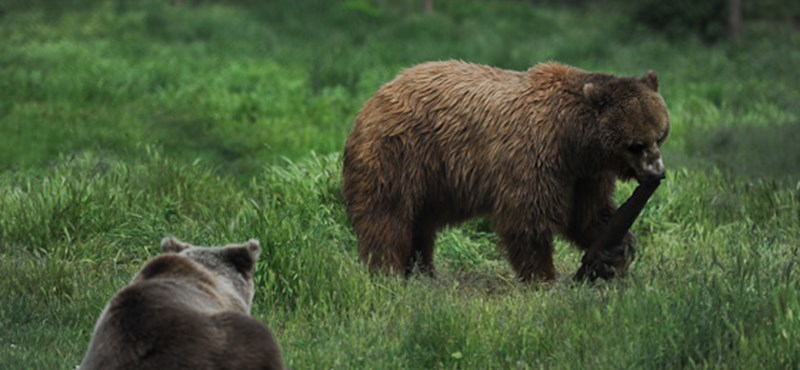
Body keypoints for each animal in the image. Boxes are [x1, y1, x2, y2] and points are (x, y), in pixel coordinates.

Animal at [342, 60, 668, 280]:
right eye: (636, 144)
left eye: (661, 134)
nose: (657, 173)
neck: (573, 140)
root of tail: (375, 97)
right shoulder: (534, 157)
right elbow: (528, 218)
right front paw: (542, 276)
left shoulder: (586, 175)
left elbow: (589, 215)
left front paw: (615, 251)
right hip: (401, 153)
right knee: (388, 216)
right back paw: (388, 272)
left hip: (429, 179)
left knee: (420, 224)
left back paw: (423, 271)